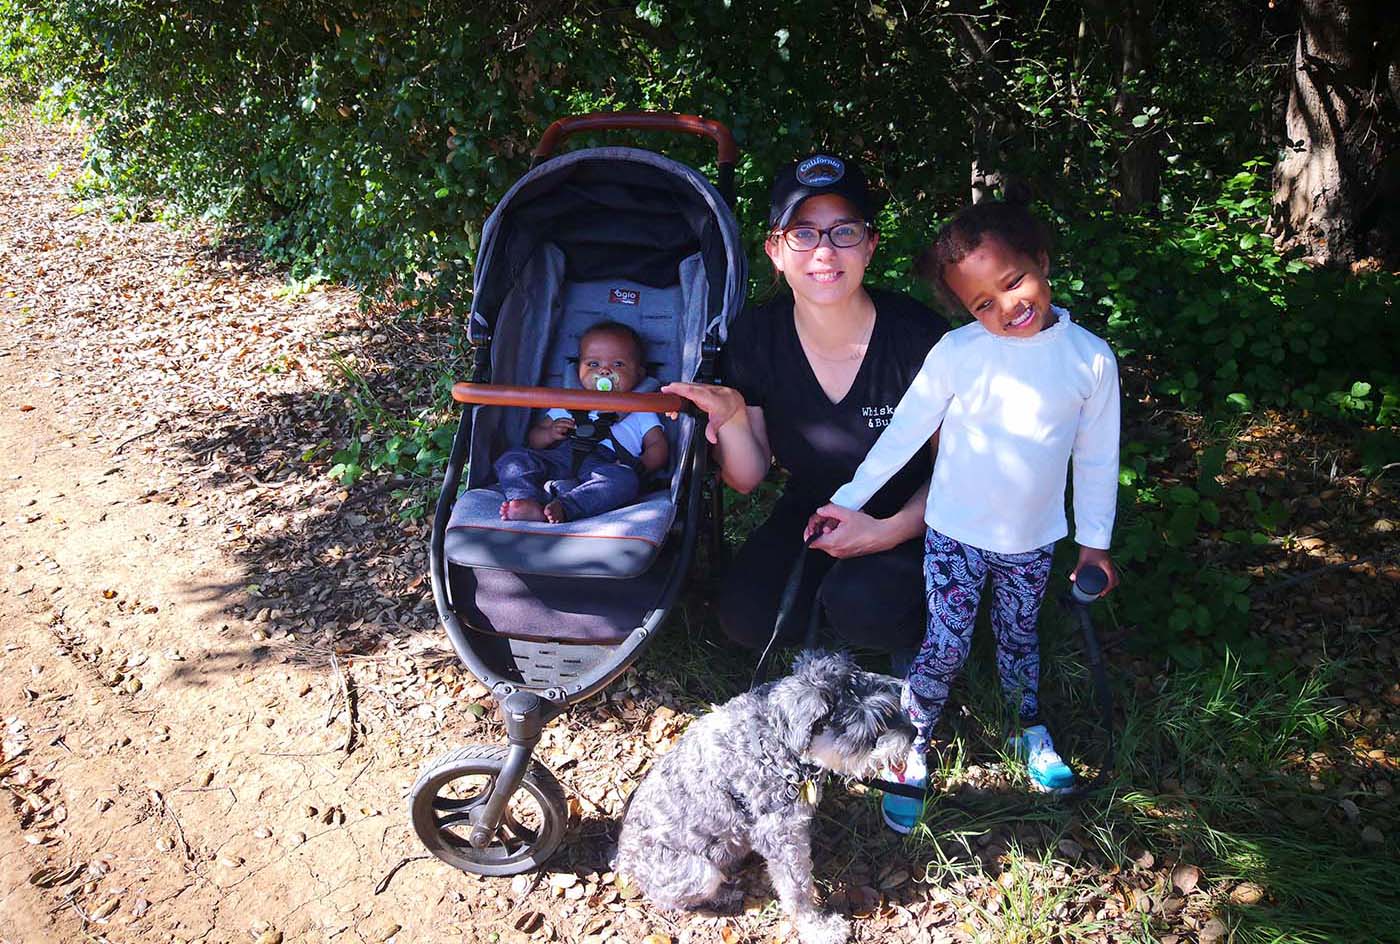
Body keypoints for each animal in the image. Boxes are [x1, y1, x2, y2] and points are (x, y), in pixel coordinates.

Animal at [618, 647, 912, 941]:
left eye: (892, 705)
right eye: (872, 731)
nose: (913, 733)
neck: (773, 741)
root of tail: (624, 864)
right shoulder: (781, 839)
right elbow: (797, 891)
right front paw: (818, 929)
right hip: (700, 872)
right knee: (676, 901)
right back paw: (724, 894)